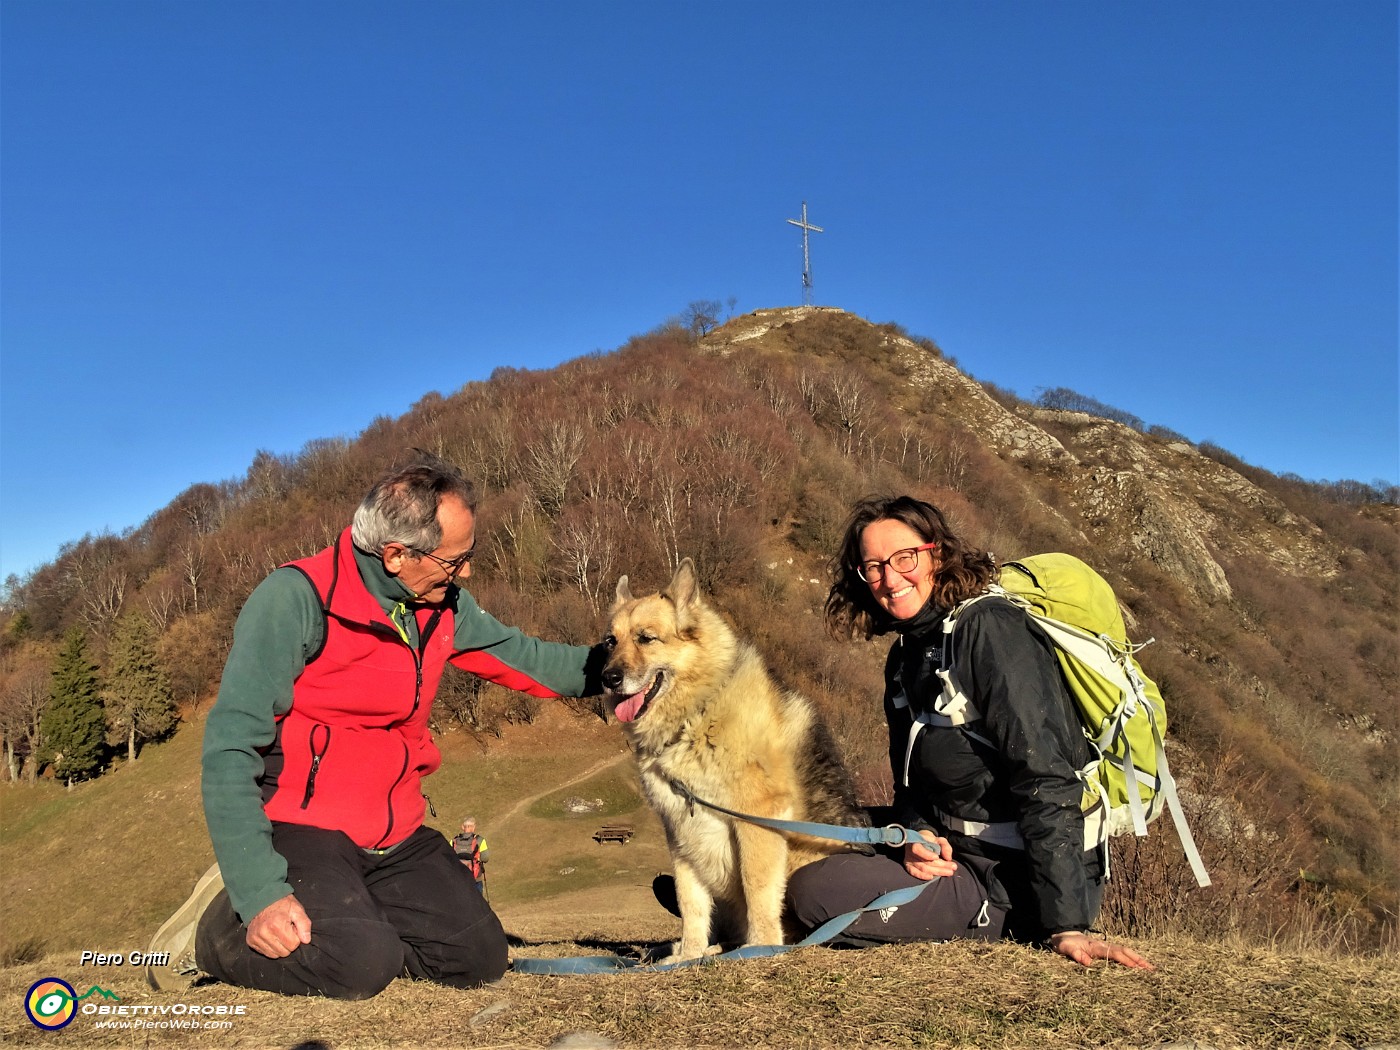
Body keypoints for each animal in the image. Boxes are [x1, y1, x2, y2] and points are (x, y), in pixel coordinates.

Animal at [599, 560, 868, 963]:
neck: (696, 714)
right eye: (610, 642)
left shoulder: (757, 817)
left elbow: (756, 887)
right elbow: (690, 903)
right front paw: (689, 953)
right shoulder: (680, 832)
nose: (607, 678)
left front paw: (760, 947)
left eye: (647, 638)